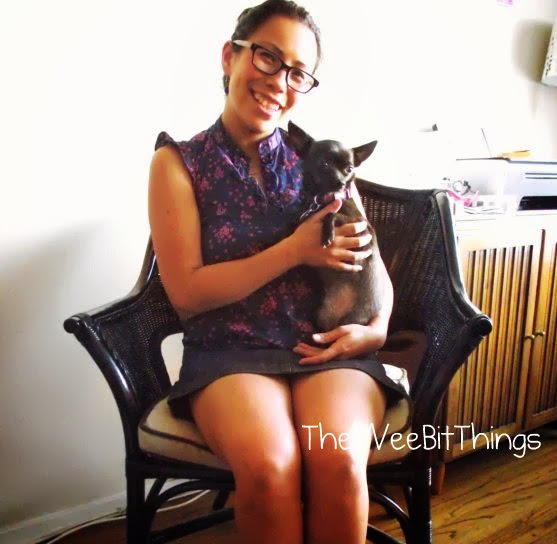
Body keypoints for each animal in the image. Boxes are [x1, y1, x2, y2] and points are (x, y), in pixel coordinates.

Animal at [286, 120, 382, 330]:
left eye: (349, 168)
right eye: (324, 164)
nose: (340, 183)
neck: (320, 200)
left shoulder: (358, 228)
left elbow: (333, 213)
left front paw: (327, 233)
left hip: (353, 319)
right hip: (320, 316)